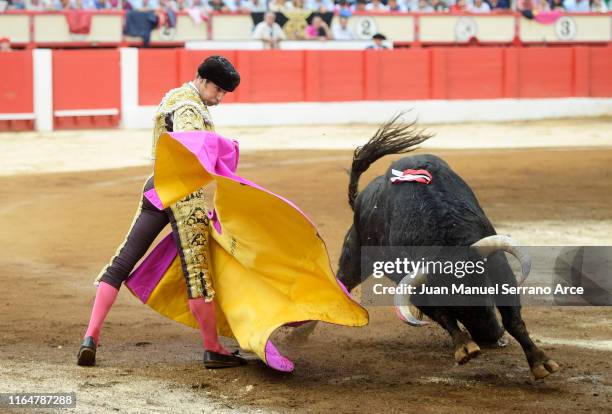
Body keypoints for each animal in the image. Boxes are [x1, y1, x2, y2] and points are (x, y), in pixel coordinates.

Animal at [296, 115, 560, 380]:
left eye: (485, 289)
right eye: (451, 301)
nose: (490, 337)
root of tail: (360, 198)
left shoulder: (497, 265)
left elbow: (512, 317)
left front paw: (540, 361)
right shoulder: (415, 285)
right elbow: (443, 316)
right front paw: (464, 347)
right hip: (356, 255)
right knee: (342, 282)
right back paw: (298, 335)